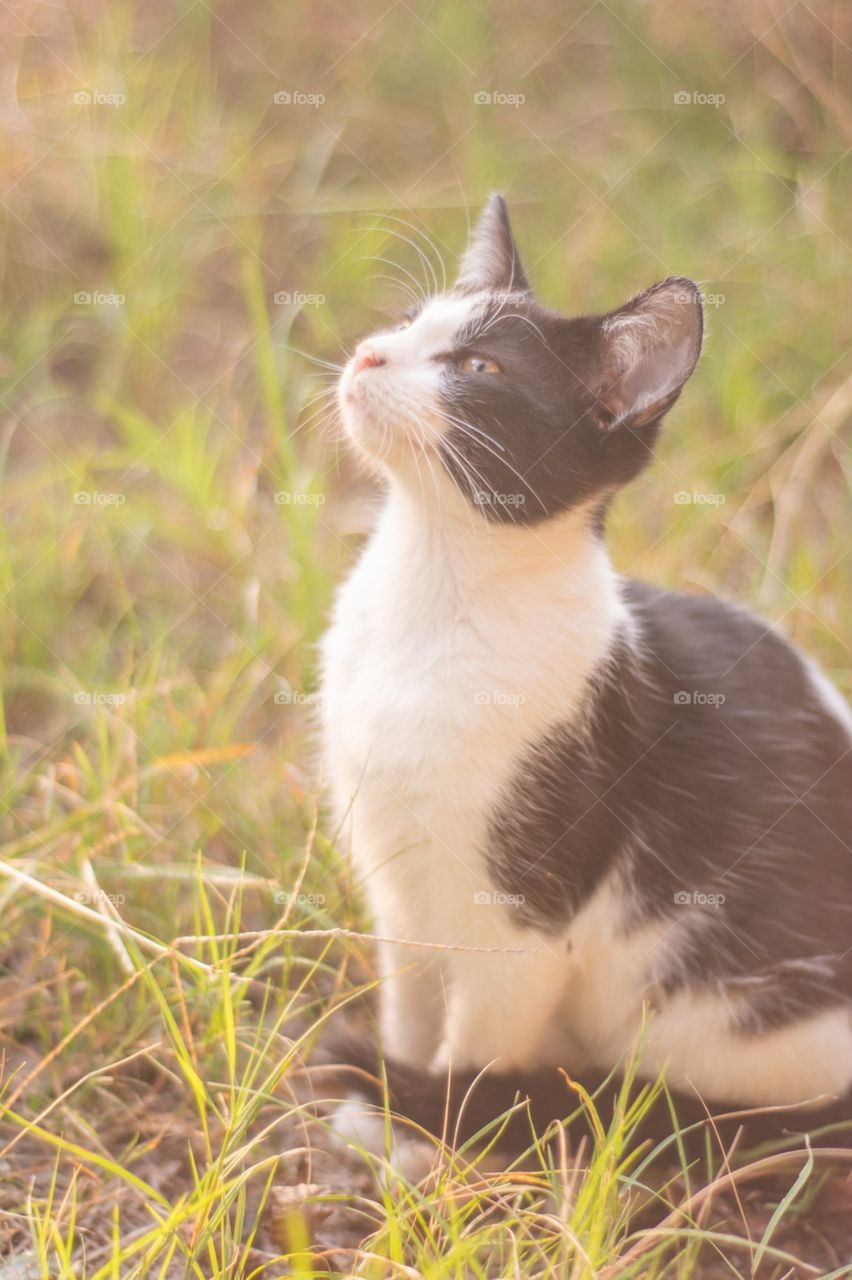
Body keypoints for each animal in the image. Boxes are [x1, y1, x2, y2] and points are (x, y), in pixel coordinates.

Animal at [319, 194, 849, 1167]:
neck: (432, 596)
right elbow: (410, 1002)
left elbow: (476, 1050)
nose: (371, 352)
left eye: (478, 367)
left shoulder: (522, 920)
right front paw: (395, 1104)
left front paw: (432, 1138)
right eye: (409, 323)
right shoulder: (395, 882)